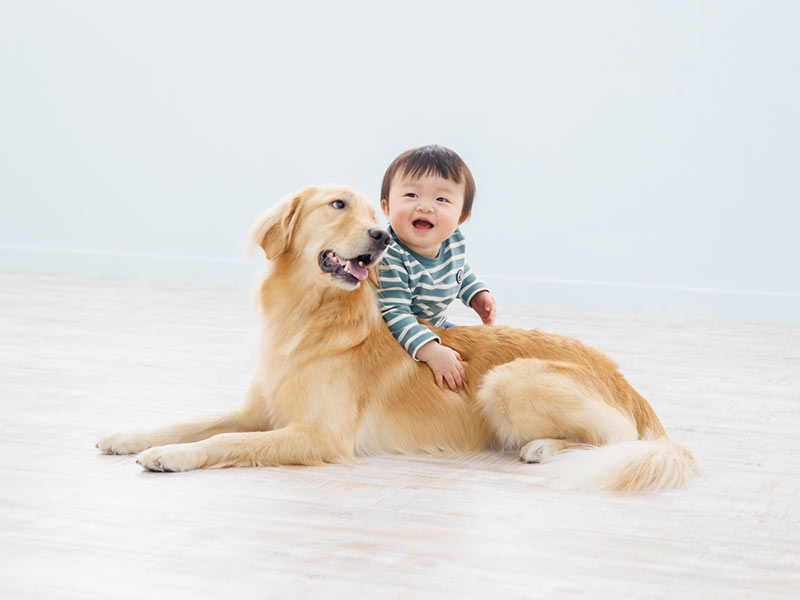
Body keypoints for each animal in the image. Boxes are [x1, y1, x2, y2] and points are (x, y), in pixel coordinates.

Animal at [95, 184, 692, 492]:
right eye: (338, 205)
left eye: (373, 213)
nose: (384, 236)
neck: (311, 319)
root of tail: (628, 384)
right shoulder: (261, 408)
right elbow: (194, 420)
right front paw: (133, 436)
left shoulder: (319, 435)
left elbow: (224, 441)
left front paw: (171, 456)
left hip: (508, 380)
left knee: (621, 441)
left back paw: (547, 448)